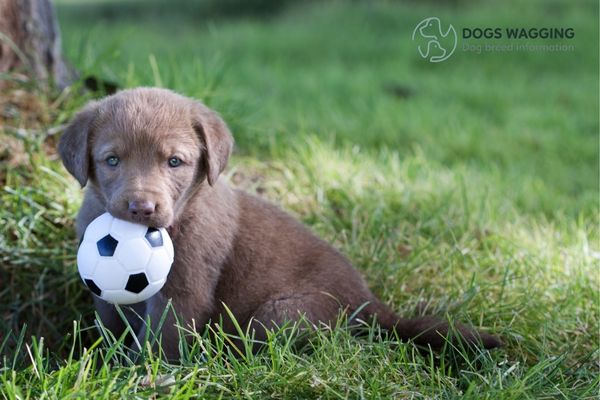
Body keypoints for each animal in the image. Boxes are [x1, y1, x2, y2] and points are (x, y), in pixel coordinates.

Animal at [59, 88, 502, 360]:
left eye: (174, 162)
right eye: (112, 160)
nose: (141, 207)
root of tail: (369, 302)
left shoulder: (182, 293)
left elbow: (161, 343)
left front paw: (143, 376)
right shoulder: (107, 296)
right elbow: (113, 327)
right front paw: (110, 361)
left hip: (280, 314)